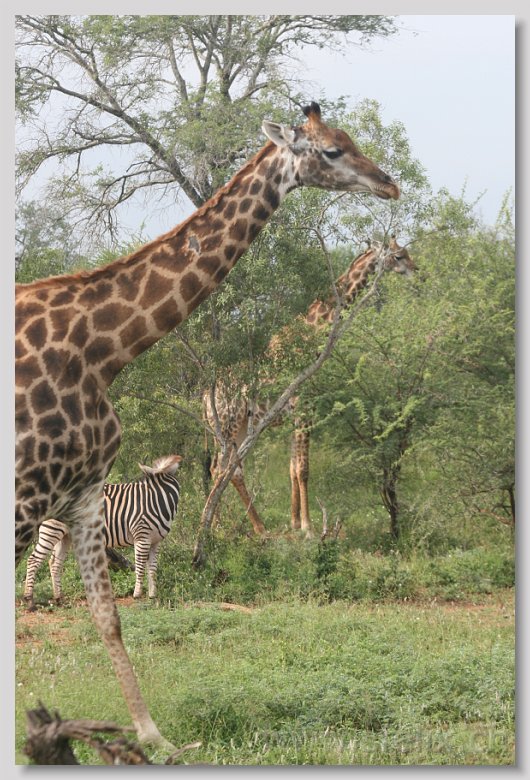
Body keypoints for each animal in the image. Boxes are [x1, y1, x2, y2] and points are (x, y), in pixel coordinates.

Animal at [23, 454, 182, 609]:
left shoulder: (155, 541)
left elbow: (153, 568)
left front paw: (153, 596)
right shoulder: (141, 537)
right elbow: (141, 566)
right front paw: (137, 595)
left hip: (65, 535)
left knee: (55, 562)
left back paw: (59, 599)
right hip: (51, 528)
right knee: (33, 559)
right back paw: (30, 601)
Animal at [203, 237, 415, 535]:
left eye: (405, 253)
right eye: (398, 256)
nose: (417, 271)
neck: (313, 332)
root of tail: (203, 396)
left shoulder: (297, 412)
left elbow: (292, 467)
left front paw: (294, 523)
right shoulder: (304, 406)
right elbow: (303, 468)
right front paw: (309, 527)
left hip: (239, 426)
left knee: (226, 470)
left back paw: (244, 527)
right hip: (228, 422)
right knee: (221, 468)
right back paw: (221, 528)